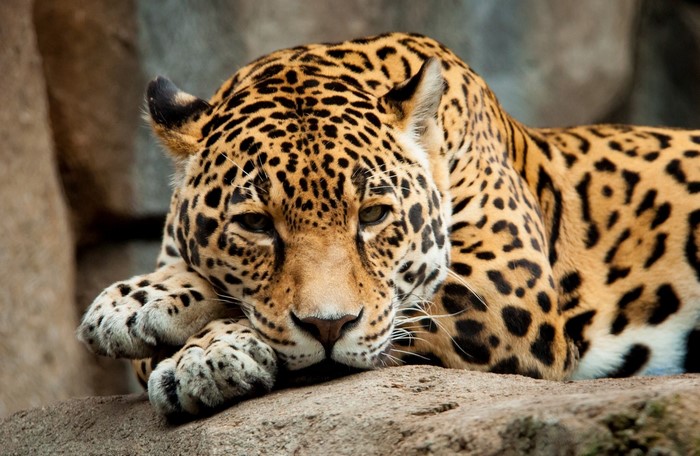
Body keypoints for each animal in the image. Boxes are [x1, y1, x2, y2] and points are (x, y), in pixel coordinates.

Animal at [78, 32, 700, 417]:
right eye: (255, 224)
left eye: (374, 215)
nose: (329, 327)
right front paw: (141, 304)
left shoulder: (507, 285)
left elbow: (396, 312)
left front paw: (203, 355)